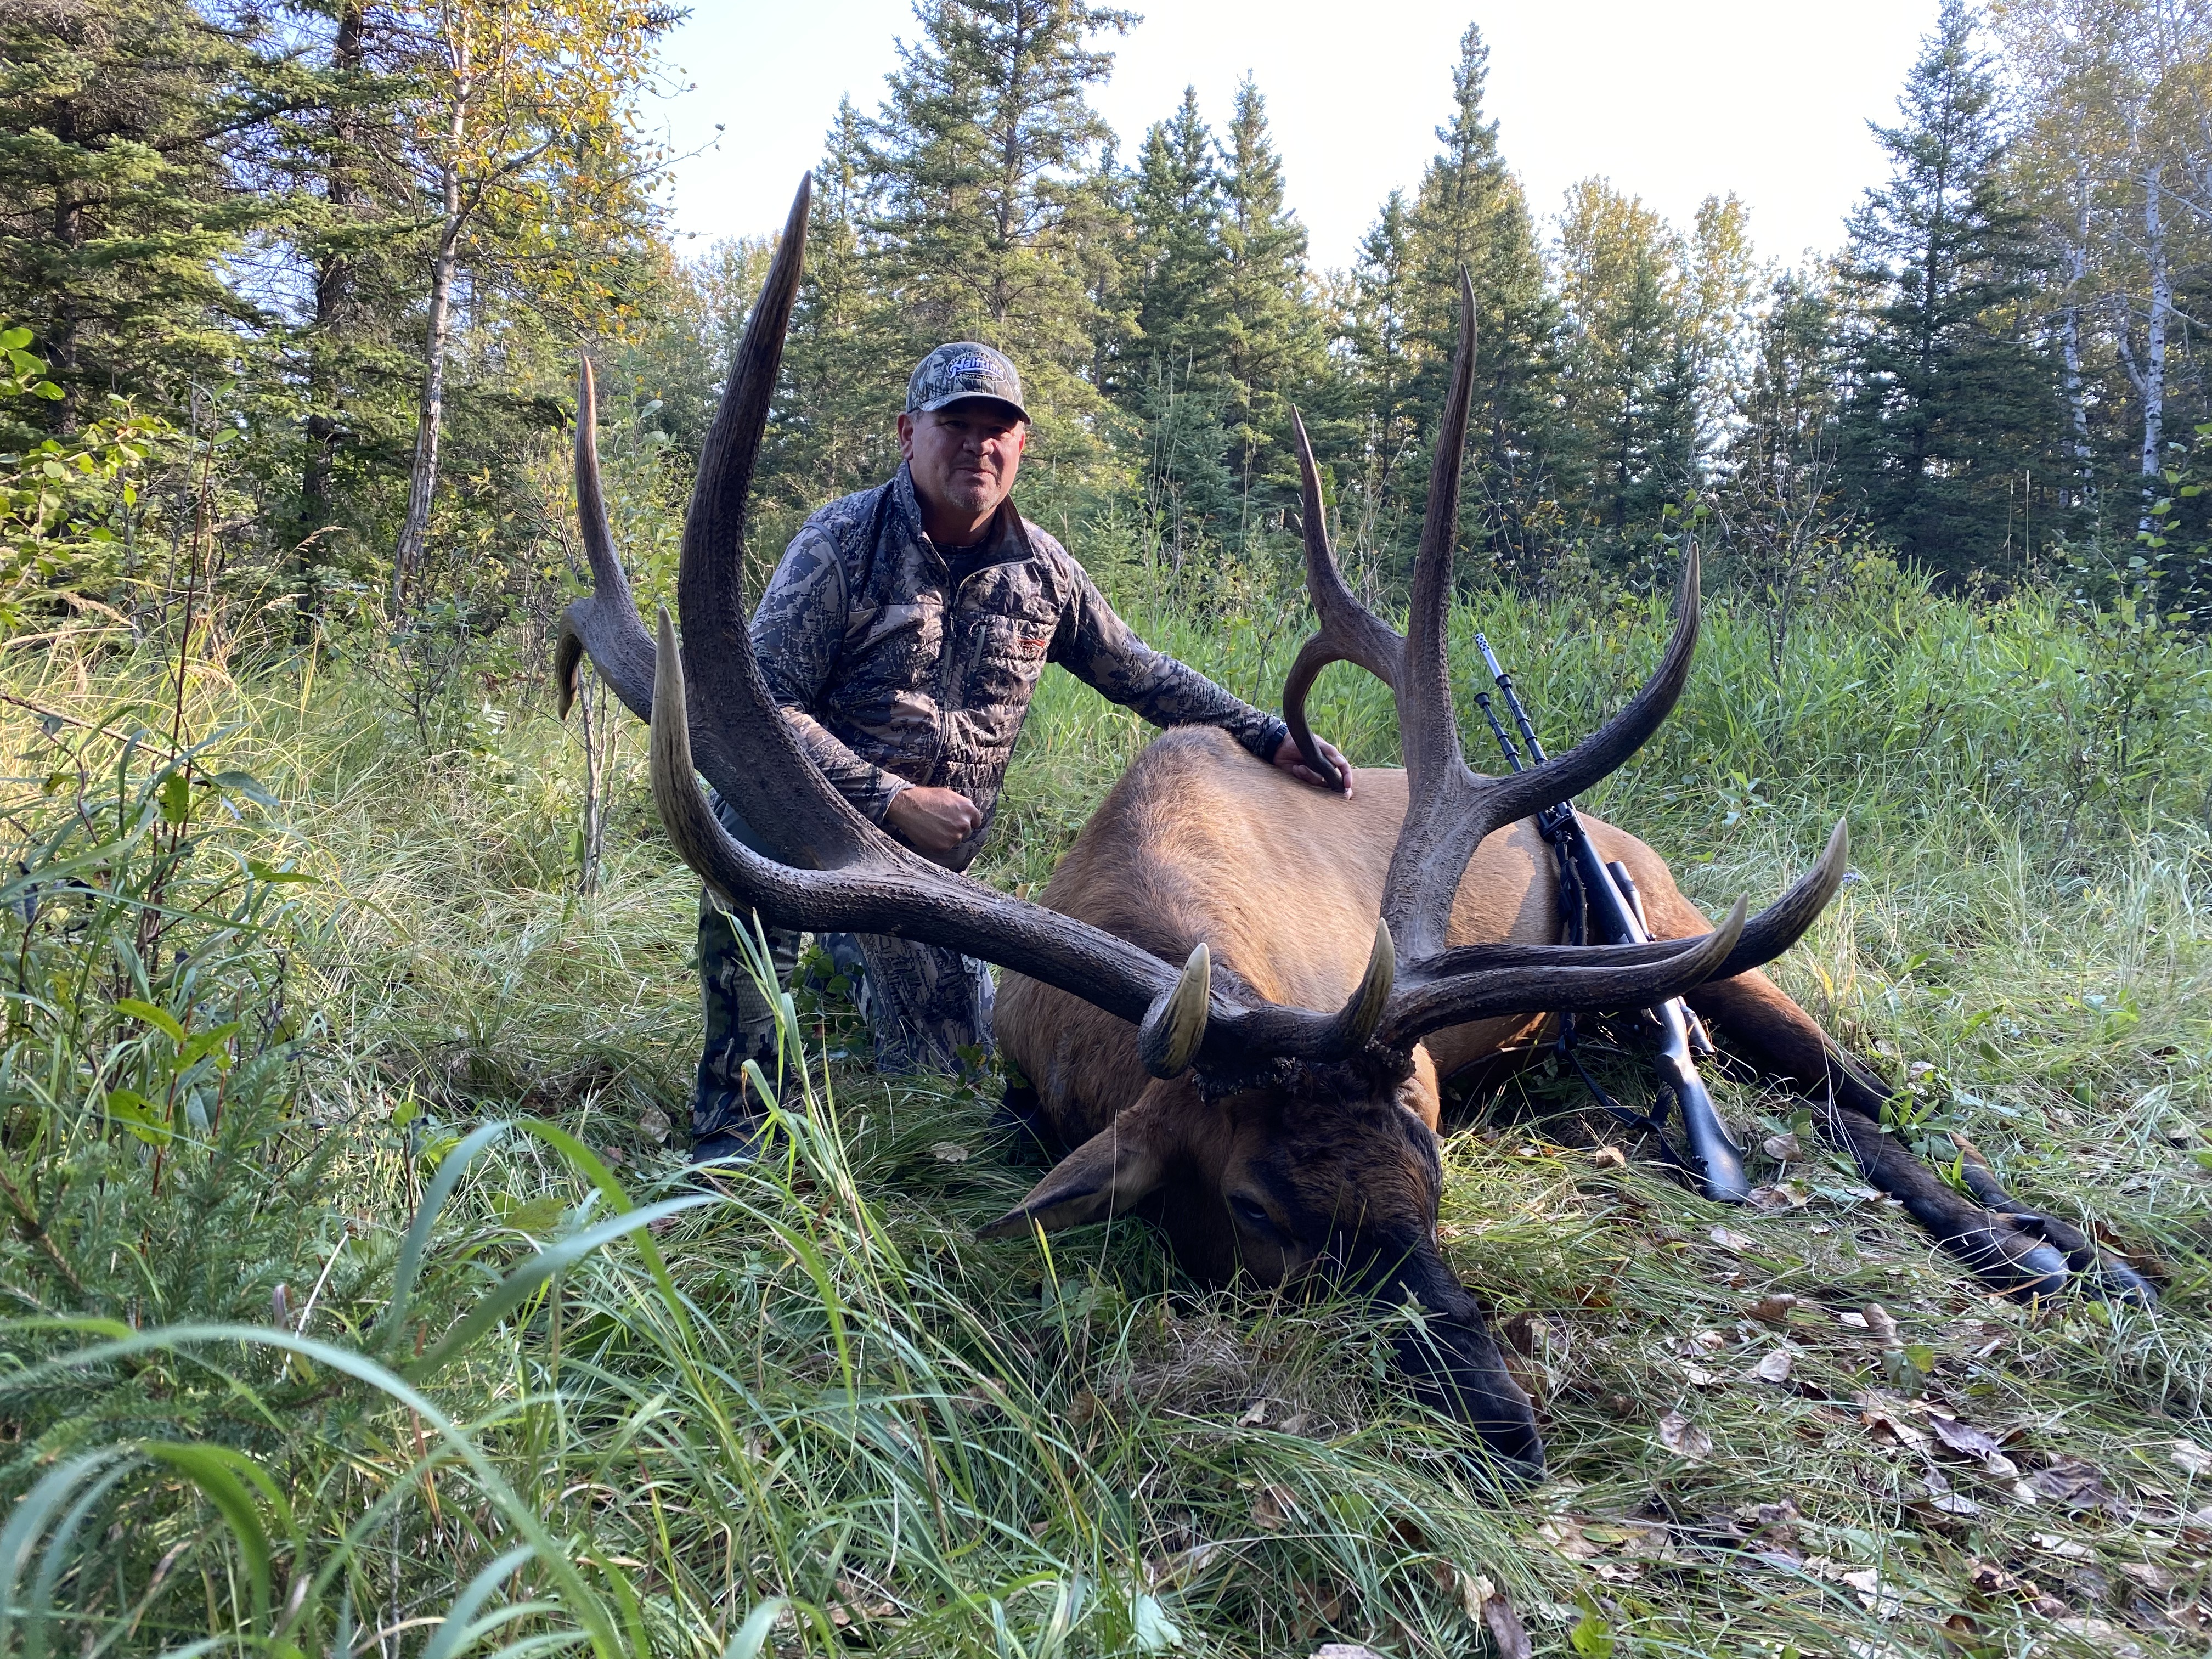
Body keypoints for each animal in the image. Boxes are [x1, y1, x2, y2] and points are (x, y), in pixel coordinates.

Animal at [558, 179, 2153, 1482]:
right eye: (1261, 1209)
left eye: (1429, 1183)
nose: (1509, 1431)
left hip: (1702, 934)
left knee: (1871, 1093)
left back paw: (2069, 1251)